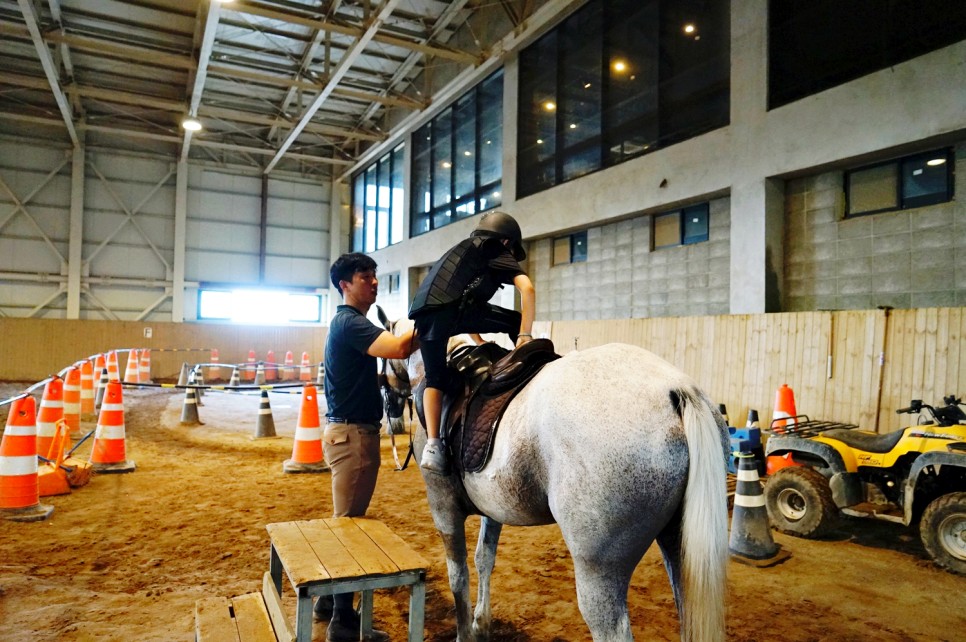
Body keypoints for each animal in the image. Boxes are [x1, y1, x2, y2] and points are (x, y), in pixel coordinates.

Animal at [378, 316, 728, 640]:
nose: (391, 416)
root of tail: (675, 390)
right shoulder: (494, 508)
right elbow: (484, 559)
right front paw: (481, 623)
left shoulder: (443, 506)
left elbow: (458, 574)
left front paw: (466, 632)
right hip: (678, 549)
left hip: (598, 573)